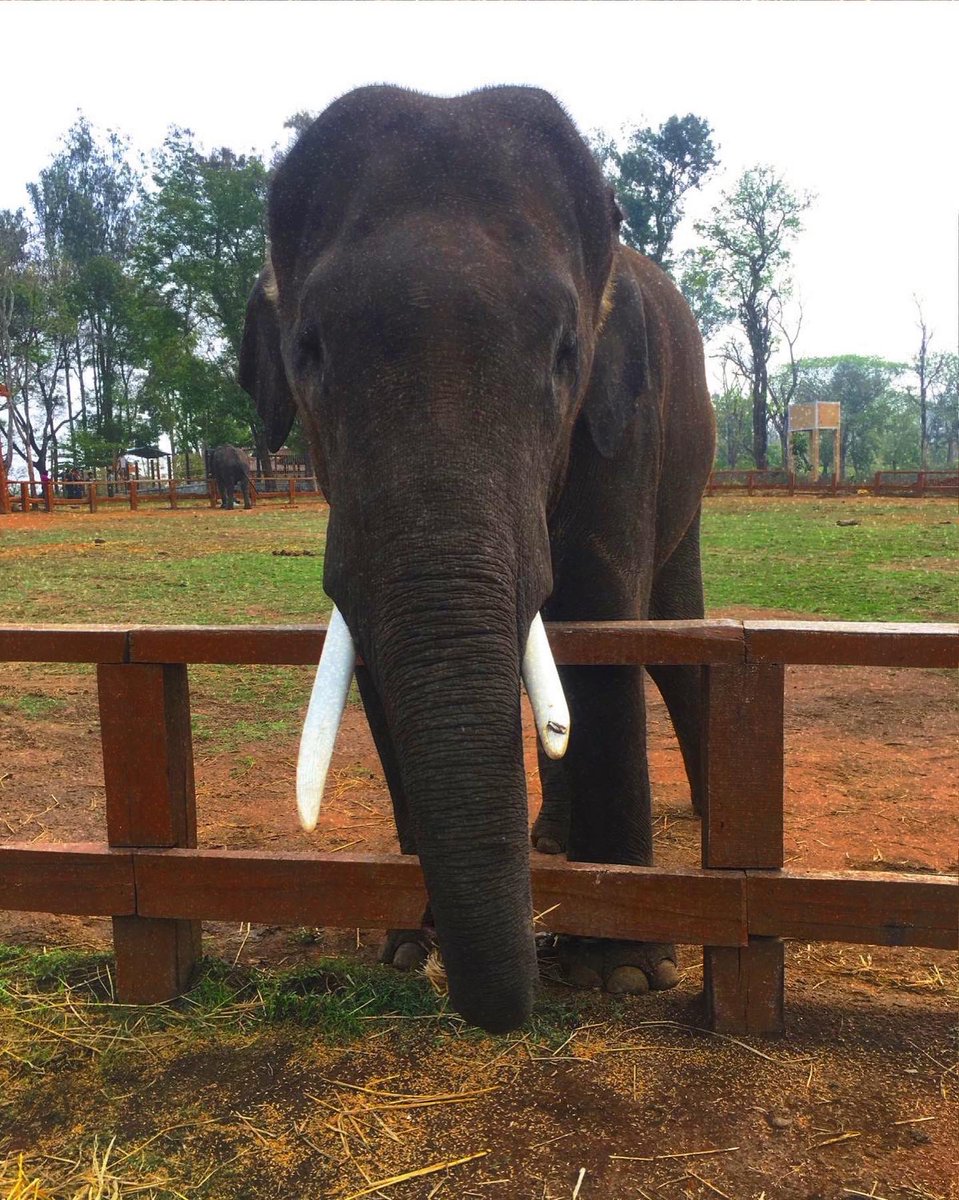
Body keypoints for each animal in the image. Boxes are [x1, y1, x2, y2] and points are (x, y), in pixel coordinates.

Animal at [239, 85, 715, 1034]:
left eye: (565, 354)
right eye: (309, 351)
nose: (501, 1003)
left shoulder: (624, 426)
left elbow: (601, 622)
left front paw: (620, 974)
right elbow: (376, 654)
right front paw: (406, 951)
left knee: (675, 649)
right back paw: (548, 846)